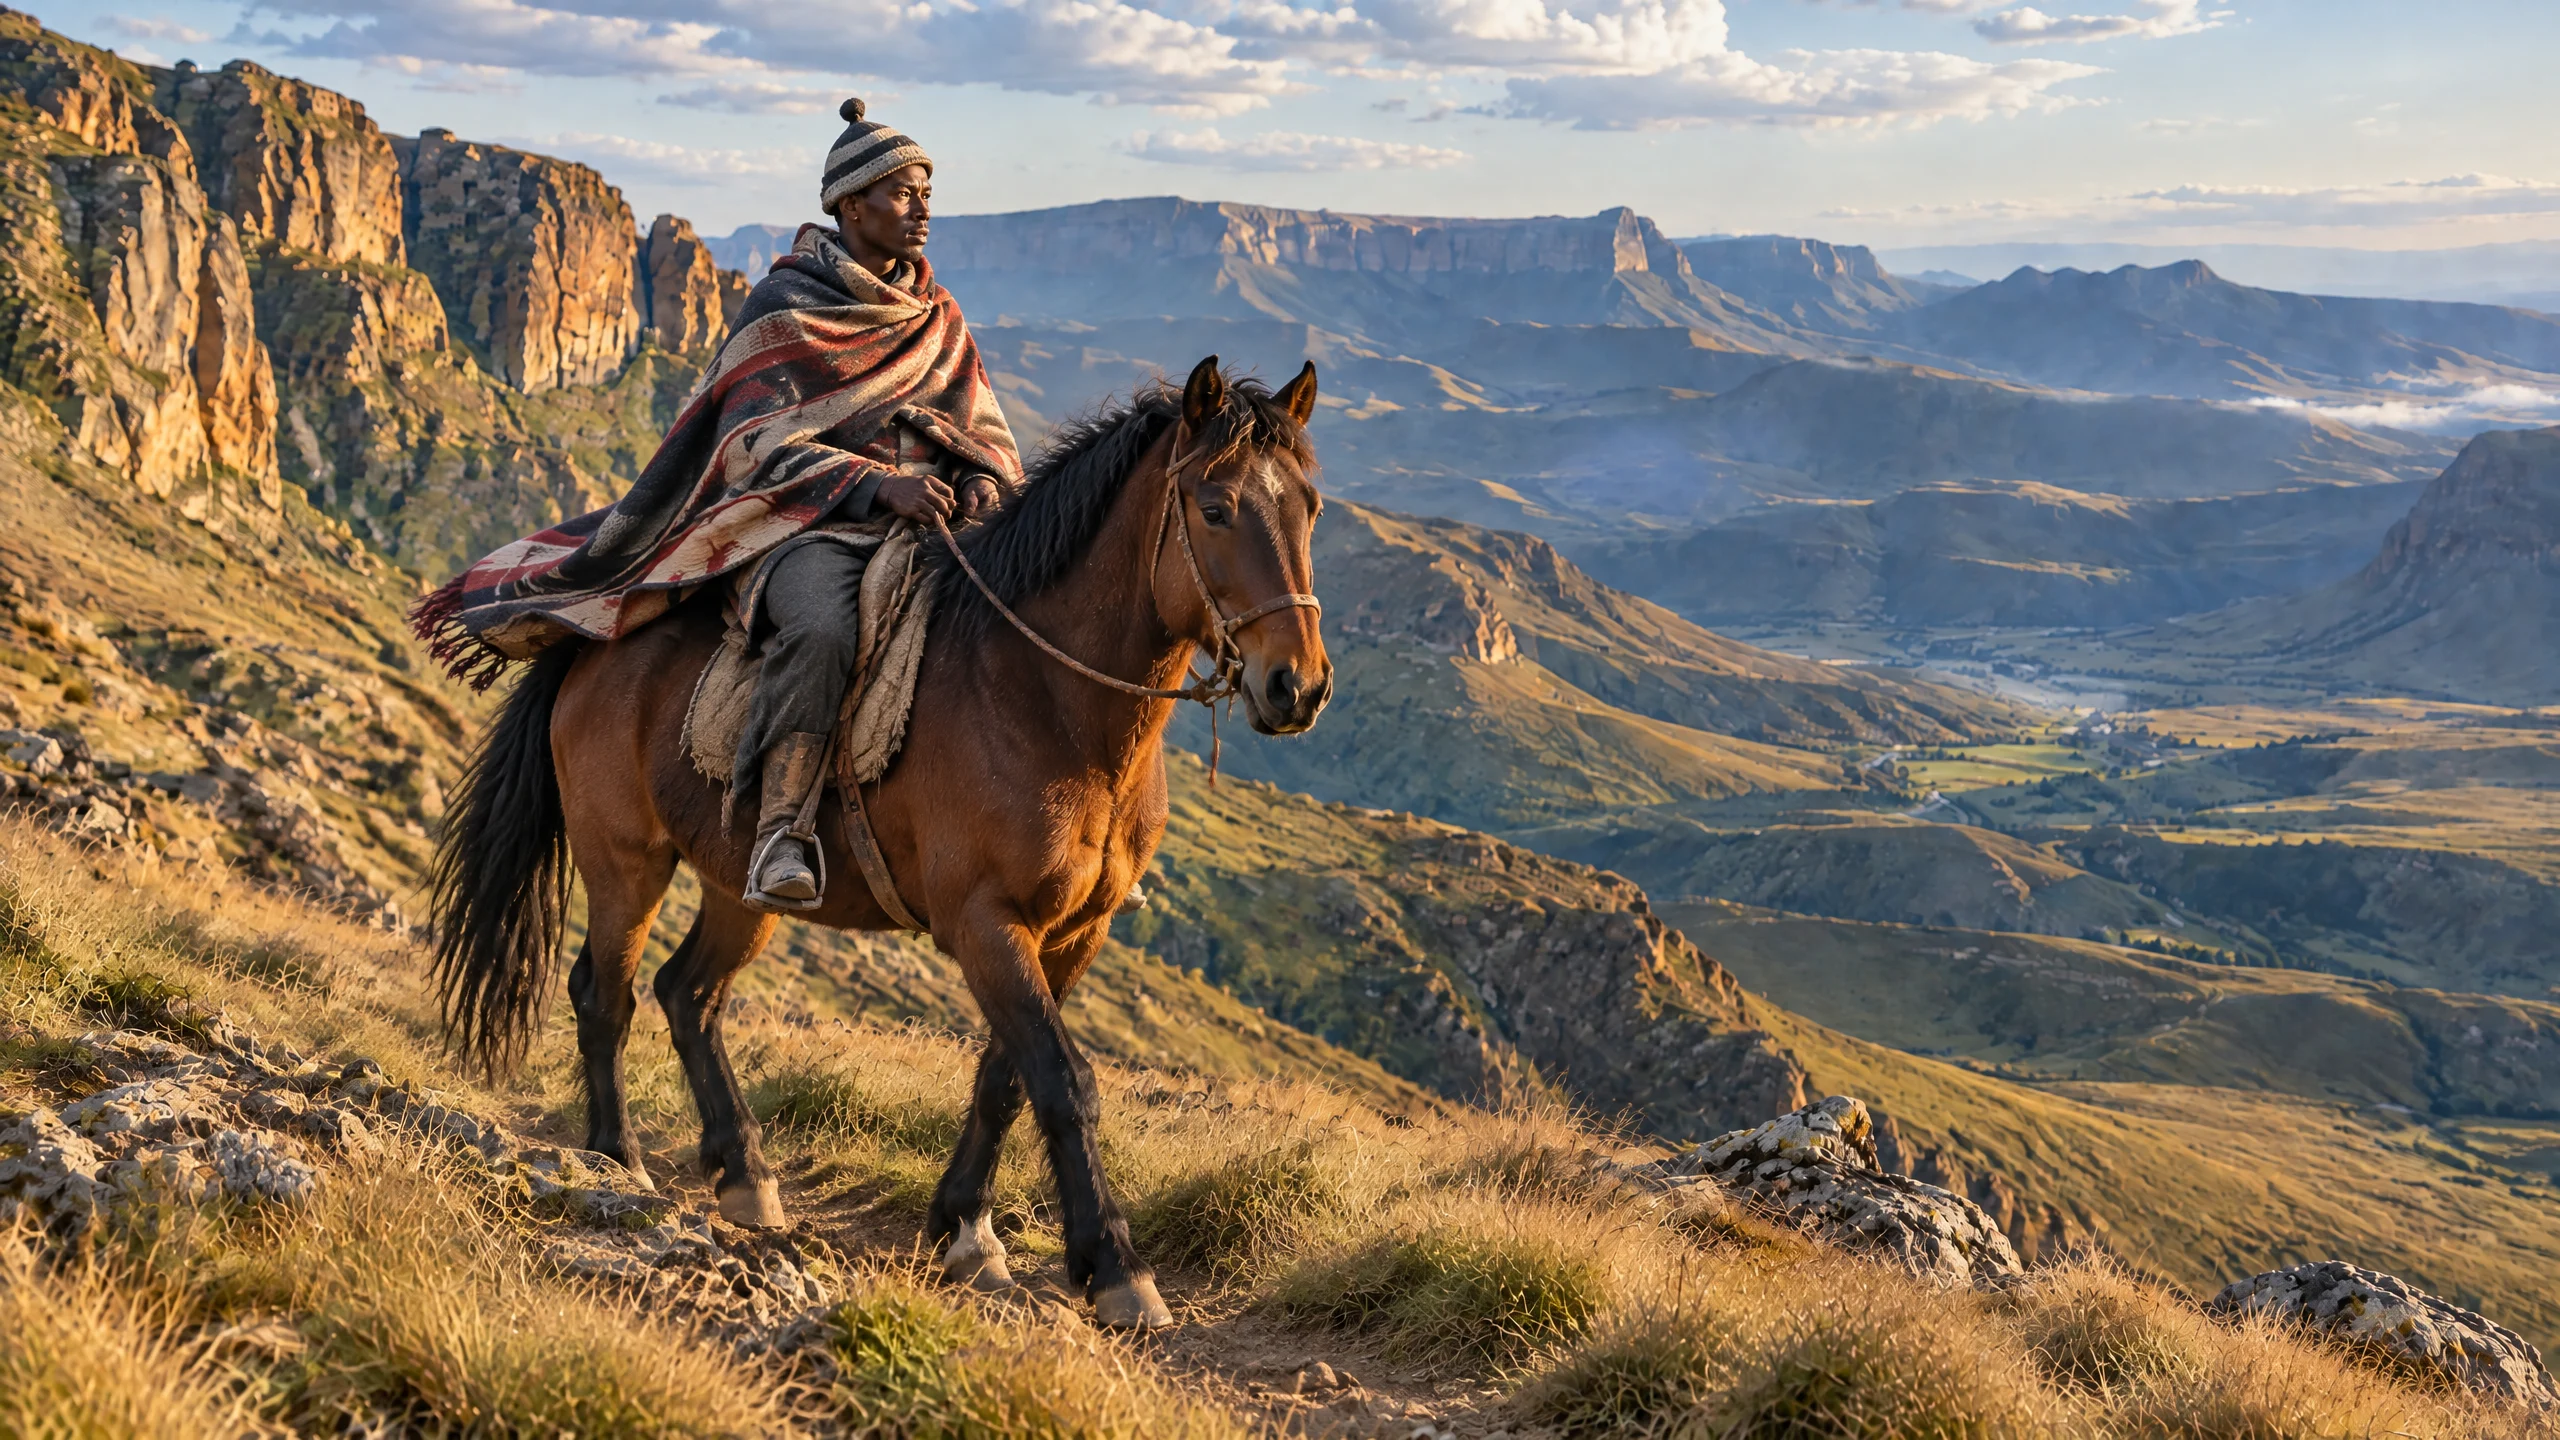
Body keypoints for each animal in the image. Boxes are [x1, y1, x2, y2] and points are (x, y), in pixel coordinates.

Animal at [425, 357, 1331, 1329]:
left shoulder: (1072, 933)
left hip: (742, 885)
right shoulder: (985, 924)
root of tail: (594, 644)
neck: (1046, 700)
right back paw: (615, 1158)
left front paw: (965, 1228)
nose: (1298, 686)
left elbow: (1007, 1078)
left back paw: (744, 1173)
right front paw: (1117, 1267)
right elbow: (1063, 1081)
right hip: (625, 860)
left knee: (689, 994)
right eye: (1215, 507)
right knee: (607, 995)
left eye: (1310, 507)